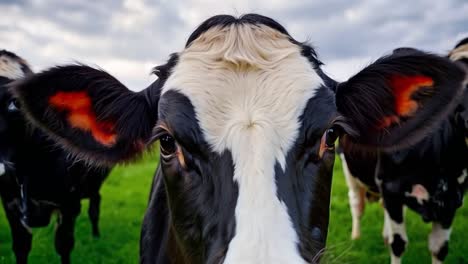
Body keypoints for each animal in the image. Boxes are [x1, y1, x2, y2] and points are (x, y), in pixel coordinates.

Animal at [0, 48, 110, 262]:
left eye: (14, 103)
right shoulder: (10, 205)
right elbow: (21, 247)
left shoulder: (69, 205)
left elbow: (64, 245)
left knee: (95, 205)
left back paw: (96, 236)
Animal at [338, 38, 468, 264]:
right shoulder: (391, 188)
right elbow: (398, 244)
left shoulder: (452, 199)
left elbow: (439, 248)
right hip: (350, 172)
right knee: (356, 203)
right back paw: (356, 237)